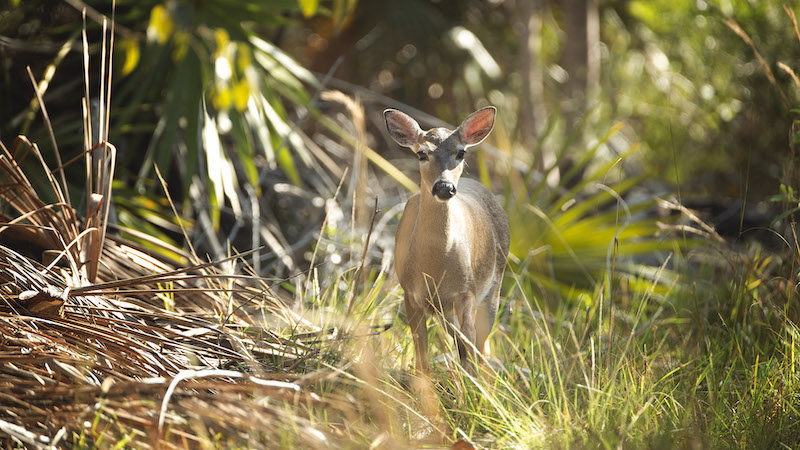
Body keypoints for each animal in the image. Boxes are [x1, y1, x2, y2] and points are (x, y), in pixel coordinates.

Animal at [384, 107, 510, 374]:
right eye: (421, 153)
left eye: (461, 152)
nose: (444, 187)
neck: (433, 268)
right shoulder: (409, 293)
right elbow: (422, 356)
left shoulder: (467, 291)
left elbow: (469, 348)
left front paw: (469, 385)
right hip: (444, 310)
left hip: (494, 286)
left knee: (480, 346)